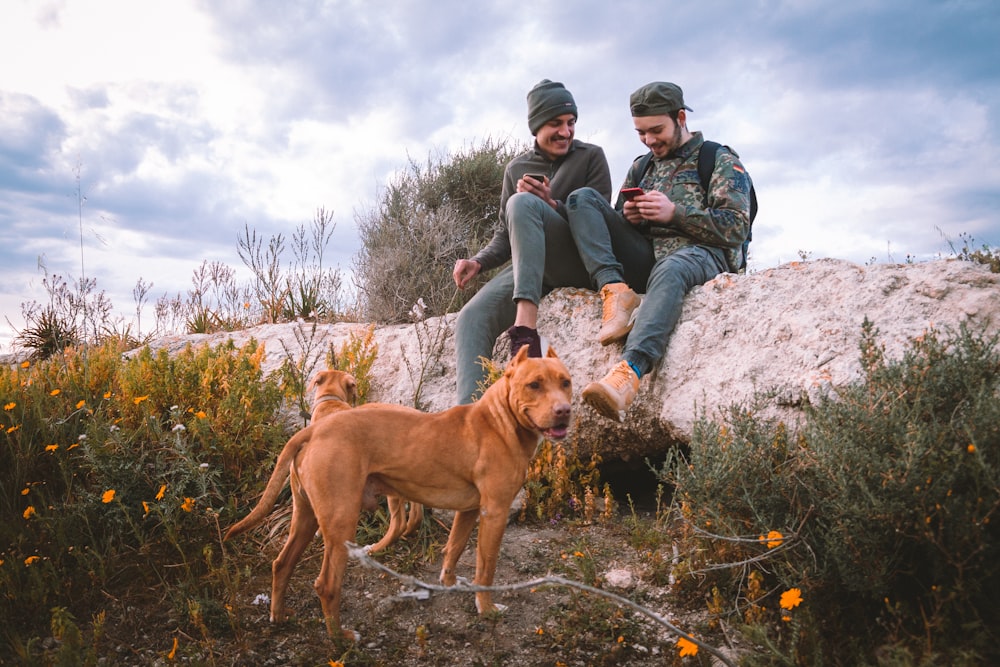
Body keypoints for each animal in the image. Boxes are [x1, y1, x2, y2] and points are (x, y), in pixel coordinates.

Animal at [226, 348, 572, 640]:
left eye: (565, 382)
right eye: (534, 385)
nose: (564, 410)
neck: (500, 421)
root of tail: (315, 429)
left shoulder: (470, 511)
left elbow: (454, 549)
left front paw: (450, 585)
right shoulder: (495, 513)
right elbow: (486, 569)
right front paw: (486, 610)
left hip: (305, 517)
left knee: (281, 564)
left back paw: (279, 616)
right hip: (341, 523)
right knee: (326, 585)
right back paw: (340, 638)